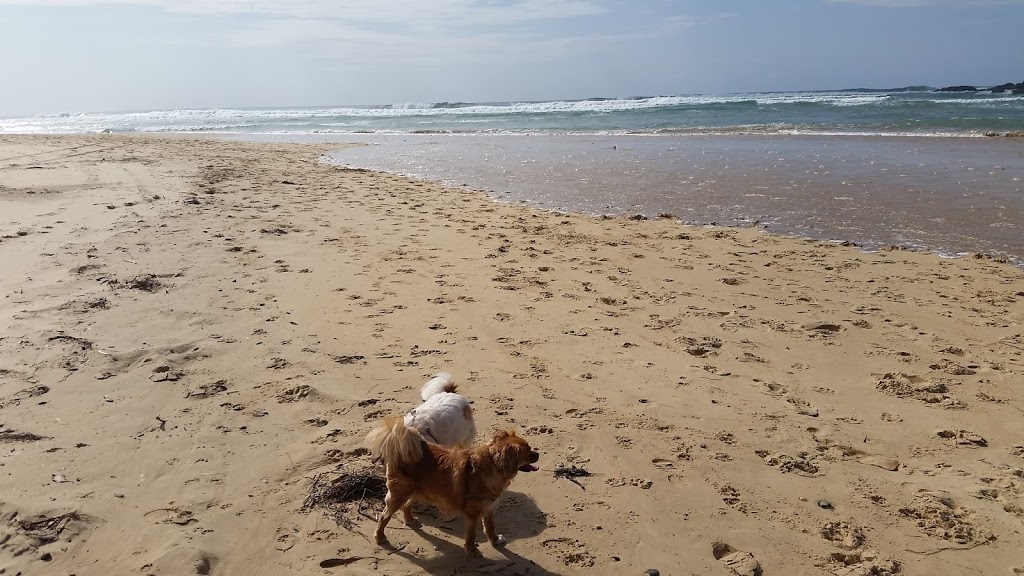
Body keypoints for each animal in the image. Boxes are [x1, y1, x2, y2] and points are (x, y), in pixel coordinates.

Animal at [368, 414, 544, 553]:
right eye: (528, 452)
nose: (538, 454)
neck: (493, 465)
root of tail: (402, 449)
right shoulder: (473, 511)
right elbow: (471, 534)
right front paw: (472, 551)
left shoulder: (487, 506)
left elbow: (490, 526)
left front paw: (495, 541)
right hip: (400, 494)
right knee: (384, 516)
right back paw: (380, 537)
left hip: (419, 490)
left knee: (406, 505)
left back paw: (410, 521)